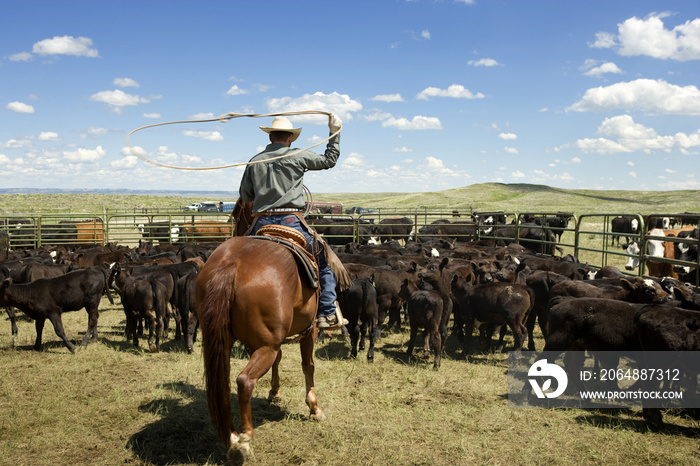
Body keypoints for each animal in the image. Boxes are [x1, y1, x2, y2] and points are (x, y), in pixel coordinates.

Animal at [193, 198, 322, 464]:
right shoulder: (309, 328)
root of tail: (231, 264)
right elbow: (308, 365)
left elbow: (280, 360)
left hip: (227, 342)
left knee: (223, 383)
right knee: (244, 381)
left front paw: (275, 391)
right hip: (266, 347)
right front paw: (314, 408)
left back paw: (232, 435)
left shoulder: (266, 340)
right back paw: (243, 441)